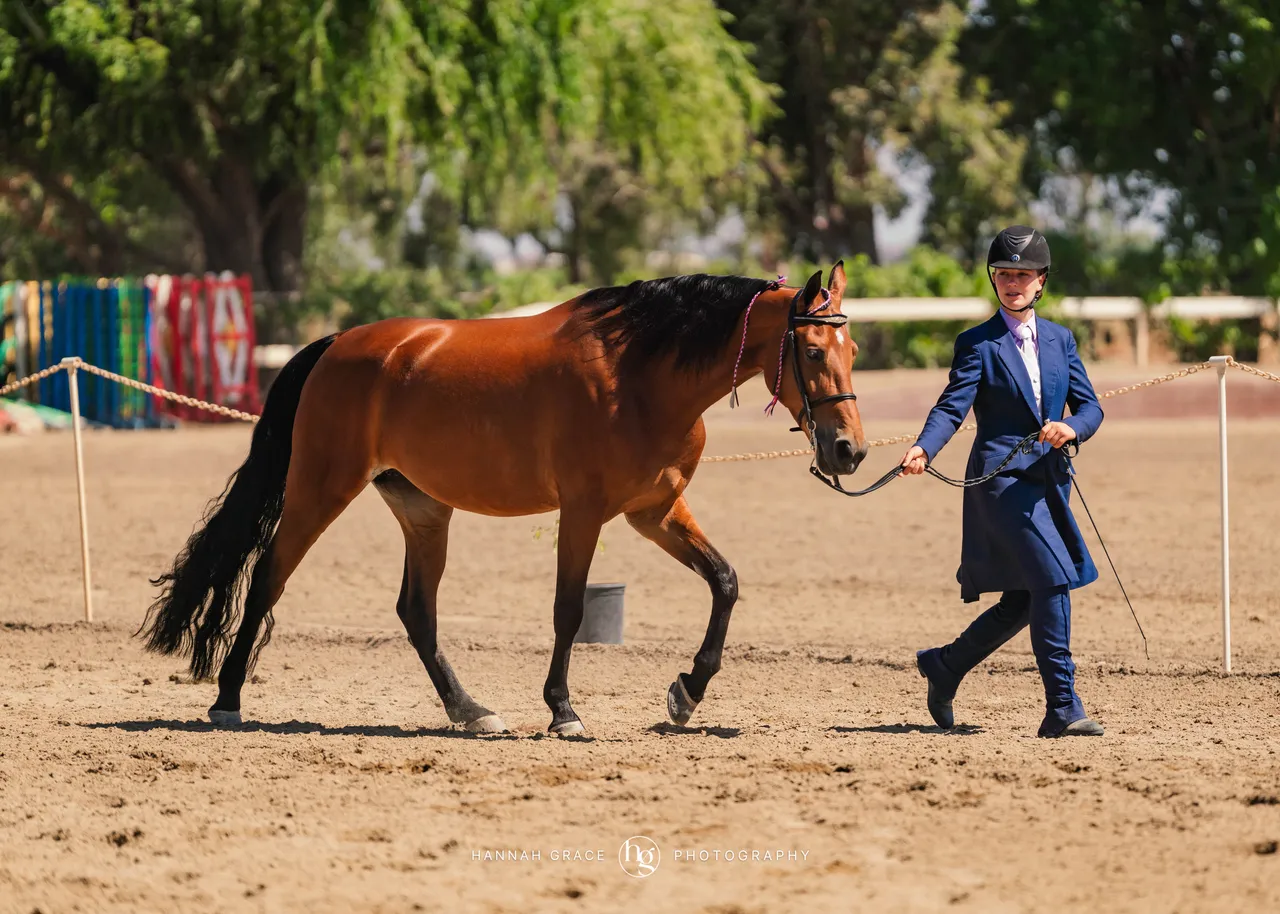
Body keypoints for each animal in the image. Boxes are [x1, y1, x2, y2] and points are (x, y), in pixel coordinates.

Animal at [139, 264, 869, 735]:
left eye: (854, 347)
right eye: (810, 348)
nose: (848, 451)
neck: (637, 375)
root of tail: (337, 343)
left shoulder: (654, 511)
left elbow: (725, 581)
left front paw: (685, 695)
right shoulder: (585, 512)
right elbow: (569, 610)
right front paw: (564, 712)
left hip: (423, 510)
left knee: (416, 611)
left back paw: (471, 712)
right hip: (321, 489)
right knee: (268, 576)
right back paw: (228, 700)